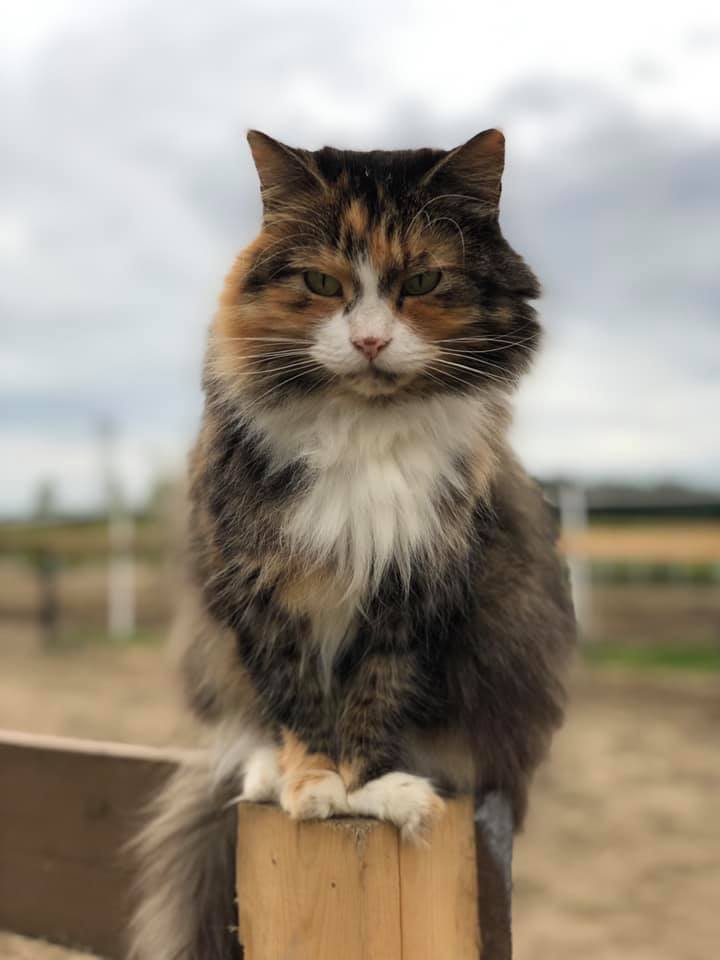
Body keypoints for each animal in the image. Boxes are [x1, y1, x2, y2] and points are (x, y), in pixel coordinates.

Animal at [129, 127, 576, 960]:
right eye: (321, 283)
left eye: (424, 280)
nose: (369, 341)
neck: (362, 429)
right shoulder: (258, 585)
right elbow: (299, 700)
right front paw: (312, 786)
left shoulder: (417, 587)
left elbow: (375, 699)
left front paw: (366, 790)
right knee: (246, 728)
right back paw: (265, 773)